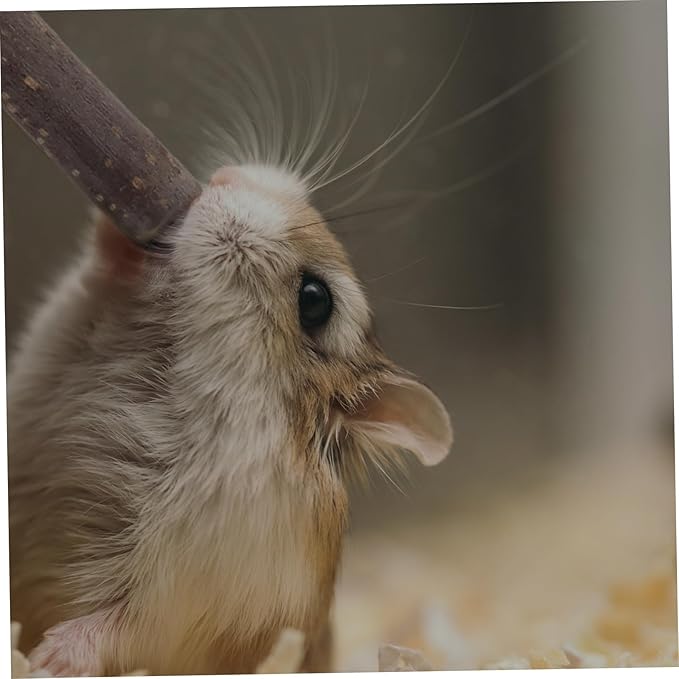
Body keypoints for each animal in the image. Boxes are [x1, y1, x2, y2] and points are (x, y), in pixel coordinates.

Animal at [7, 163, 453, 676]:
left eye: (315, 300)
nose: (225, 177)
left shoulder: (191, 596)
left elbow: (124, 626)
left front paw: (45, 658)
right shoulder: (61, 335)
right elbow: (89, 284)